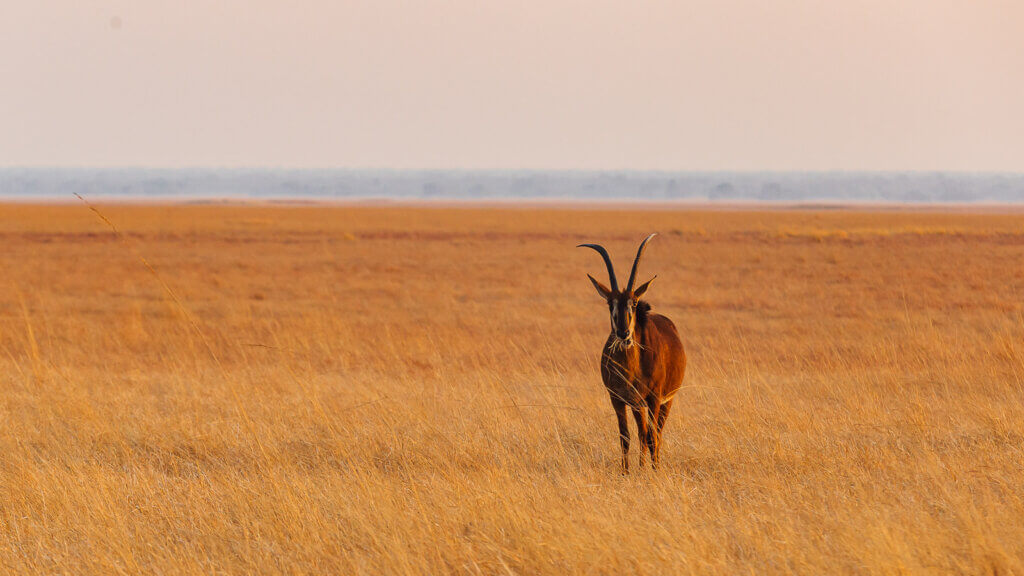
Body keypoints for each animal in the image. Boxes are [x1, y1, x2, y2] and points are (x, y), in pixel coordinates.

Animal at [579, 234, 686, 472]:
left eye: (633, 302)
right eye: (610, 303)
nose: (623, 333)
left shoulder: (653, 399)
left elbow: (652, 437)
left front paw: (653, 471)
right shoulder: (618, 399)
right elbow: (625, 436)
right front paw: (626, 472)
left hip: (666, 401)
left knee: (656, 433)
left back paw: (652, 465)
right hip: (638, 405)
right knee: (642, 433)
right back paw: (642, 466)